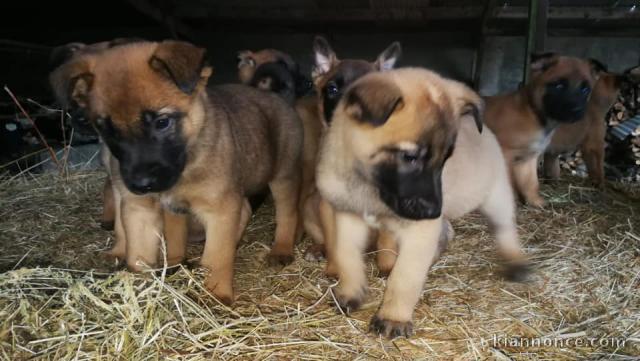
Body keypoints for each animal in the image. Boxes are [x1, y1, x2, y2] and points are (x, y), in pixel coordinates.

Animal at [48, 40, 304, 304]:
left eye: (162, 122)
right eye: (108, 130)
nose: (141, 184)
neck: (186, 163)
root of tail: (274, 95)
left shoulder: (219, 208)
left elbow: (218, 255)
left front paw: (216, 295)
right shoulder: (140, 209)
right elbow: (138, 255)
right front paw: (139, 294)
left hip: (283, 175)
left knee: (287, 213)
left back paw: (281, 249)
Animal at [300, 35, 400, 276]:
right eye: (333, 89)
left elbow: (387, 241)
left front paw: (387, 267)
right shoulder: (329, 207)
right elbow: (334, 241)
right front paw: (335, 269)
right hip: (309, 204)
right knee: (324, 240)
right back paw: (317, 250)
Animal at [318, 67, 528, 338]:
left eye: (445, 158)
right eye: (410, 157)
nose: (433, 210)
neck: (369, 186)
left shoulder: (420, 231)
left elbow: (404, 277)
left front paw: (393, 318)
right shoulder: (348, 217)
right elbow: (347, 256)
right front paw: (351, 293)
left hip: (495, 195)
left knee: (505, 228)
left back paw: (516, 262)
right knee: (447, 232)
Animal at [484, 52, 600, 207]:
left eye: (585, 89)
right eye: (559, 86)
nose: (576, 110)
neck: (533, 114)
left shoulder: (528, 159)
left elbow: (531, 183)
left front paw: (535, 201)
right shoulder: (505, 154)